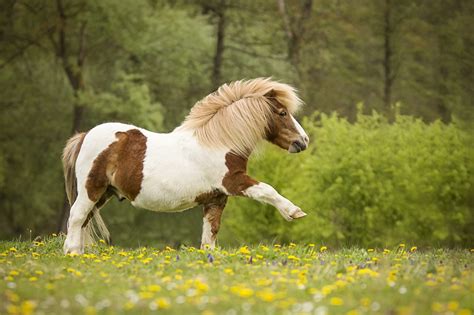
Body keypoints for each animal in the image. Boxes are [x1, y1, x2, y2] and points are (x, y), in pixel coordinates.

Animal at [62, 78, 308, 254]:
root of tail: (84, 136)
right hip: (91, 189)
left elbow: (210, 234)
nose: (303, 141)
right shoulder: (234, 182)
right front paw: (294, 212)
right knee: (76, 216)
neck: (220, 143)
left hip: (104, 193)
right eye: (282, 113)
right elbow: (267, 190)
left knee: (83, 220)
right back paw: (72, 252)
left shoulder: (216, 199)